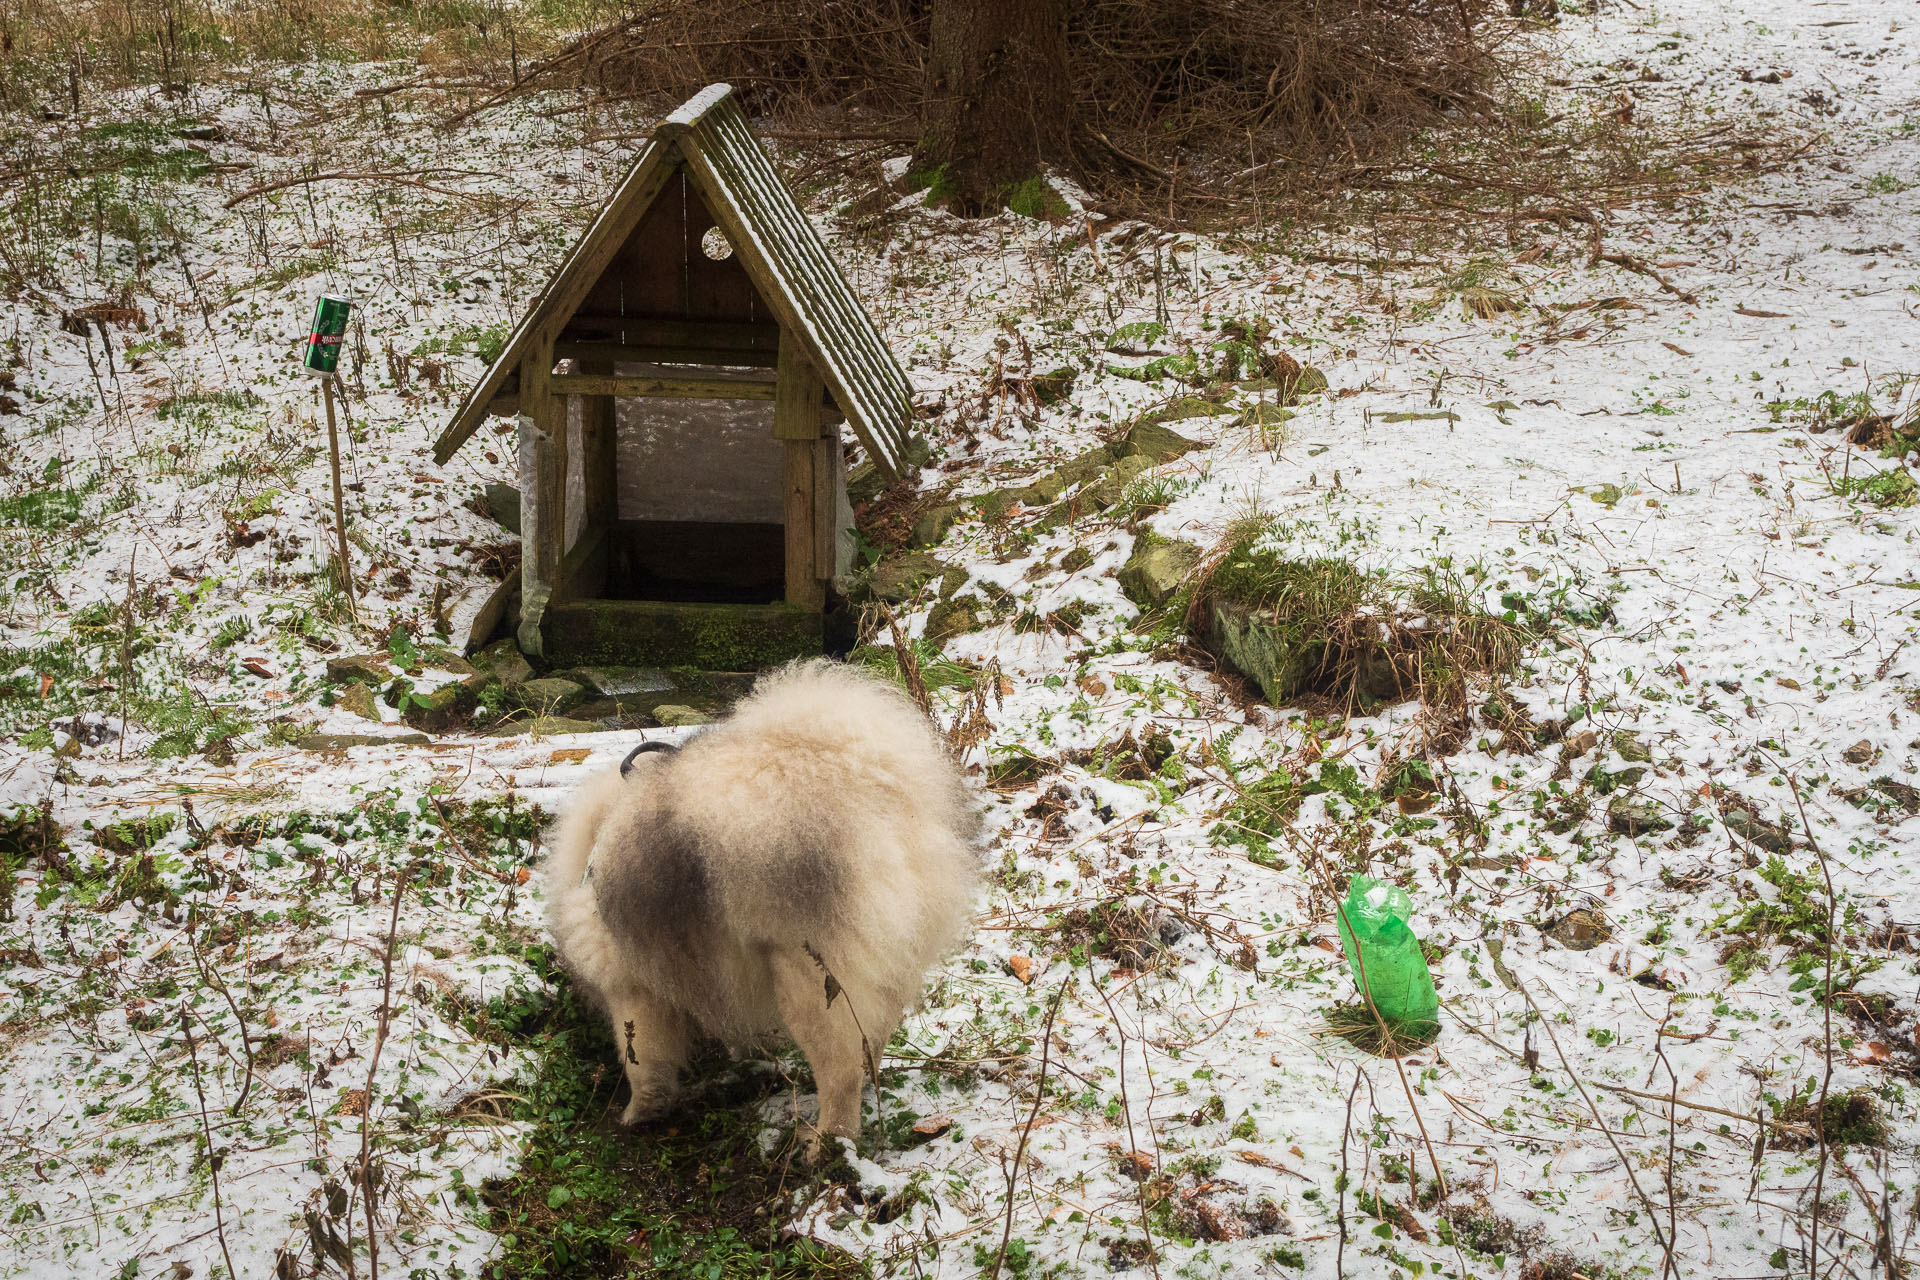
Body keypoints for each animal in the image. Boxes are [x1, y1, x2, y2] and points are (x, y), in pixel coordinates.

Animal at [545, 660, 983, 1151]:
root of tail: (878, 802)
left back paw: (825, 1146)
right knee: (871, 1042)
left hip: (813, 979)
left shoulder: (631, 987)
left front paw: (639, 1113)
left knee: (840, 1071)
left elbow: (642, 1060)